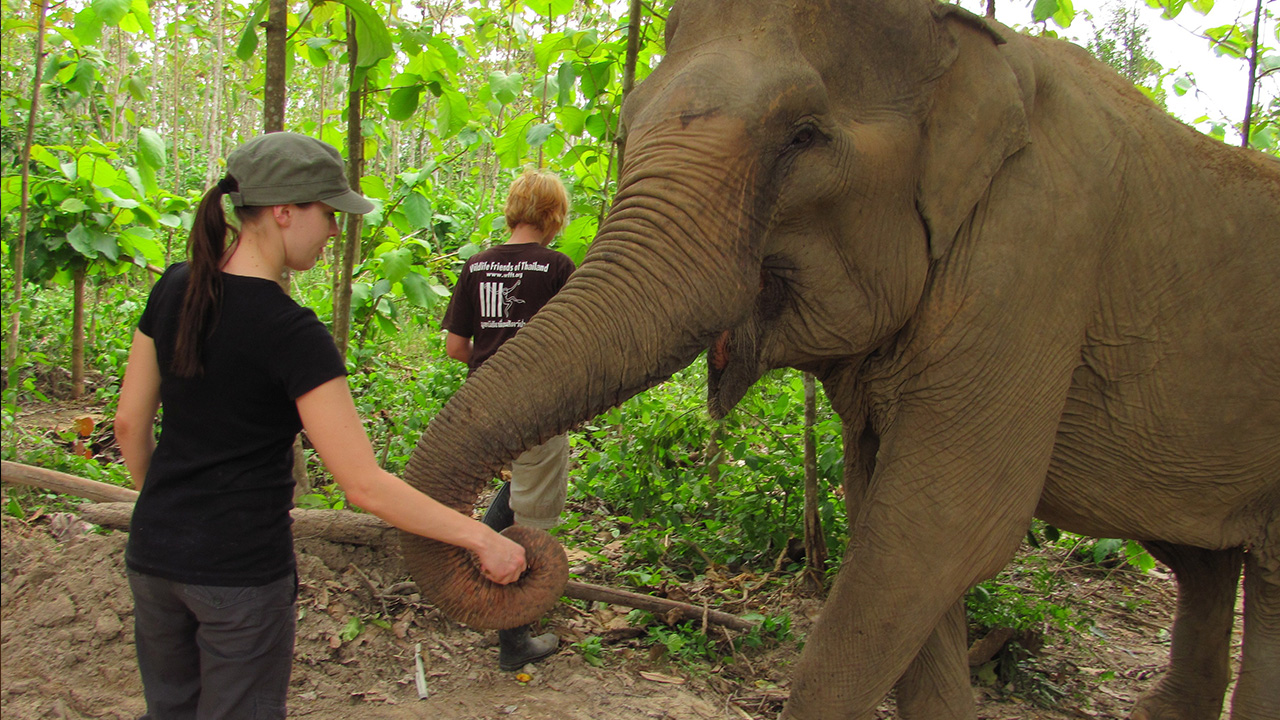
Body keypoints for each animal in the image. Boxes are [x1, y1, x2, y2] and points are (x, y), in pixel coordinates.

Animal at [399, 0, 1280, 717]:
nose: (521, 552)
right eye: (625, 128)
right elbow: (886, 517)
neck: (974, 51)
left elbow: (943, 527)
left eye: (804, 137)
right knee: (1205, 566)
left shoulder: (1038, 255)